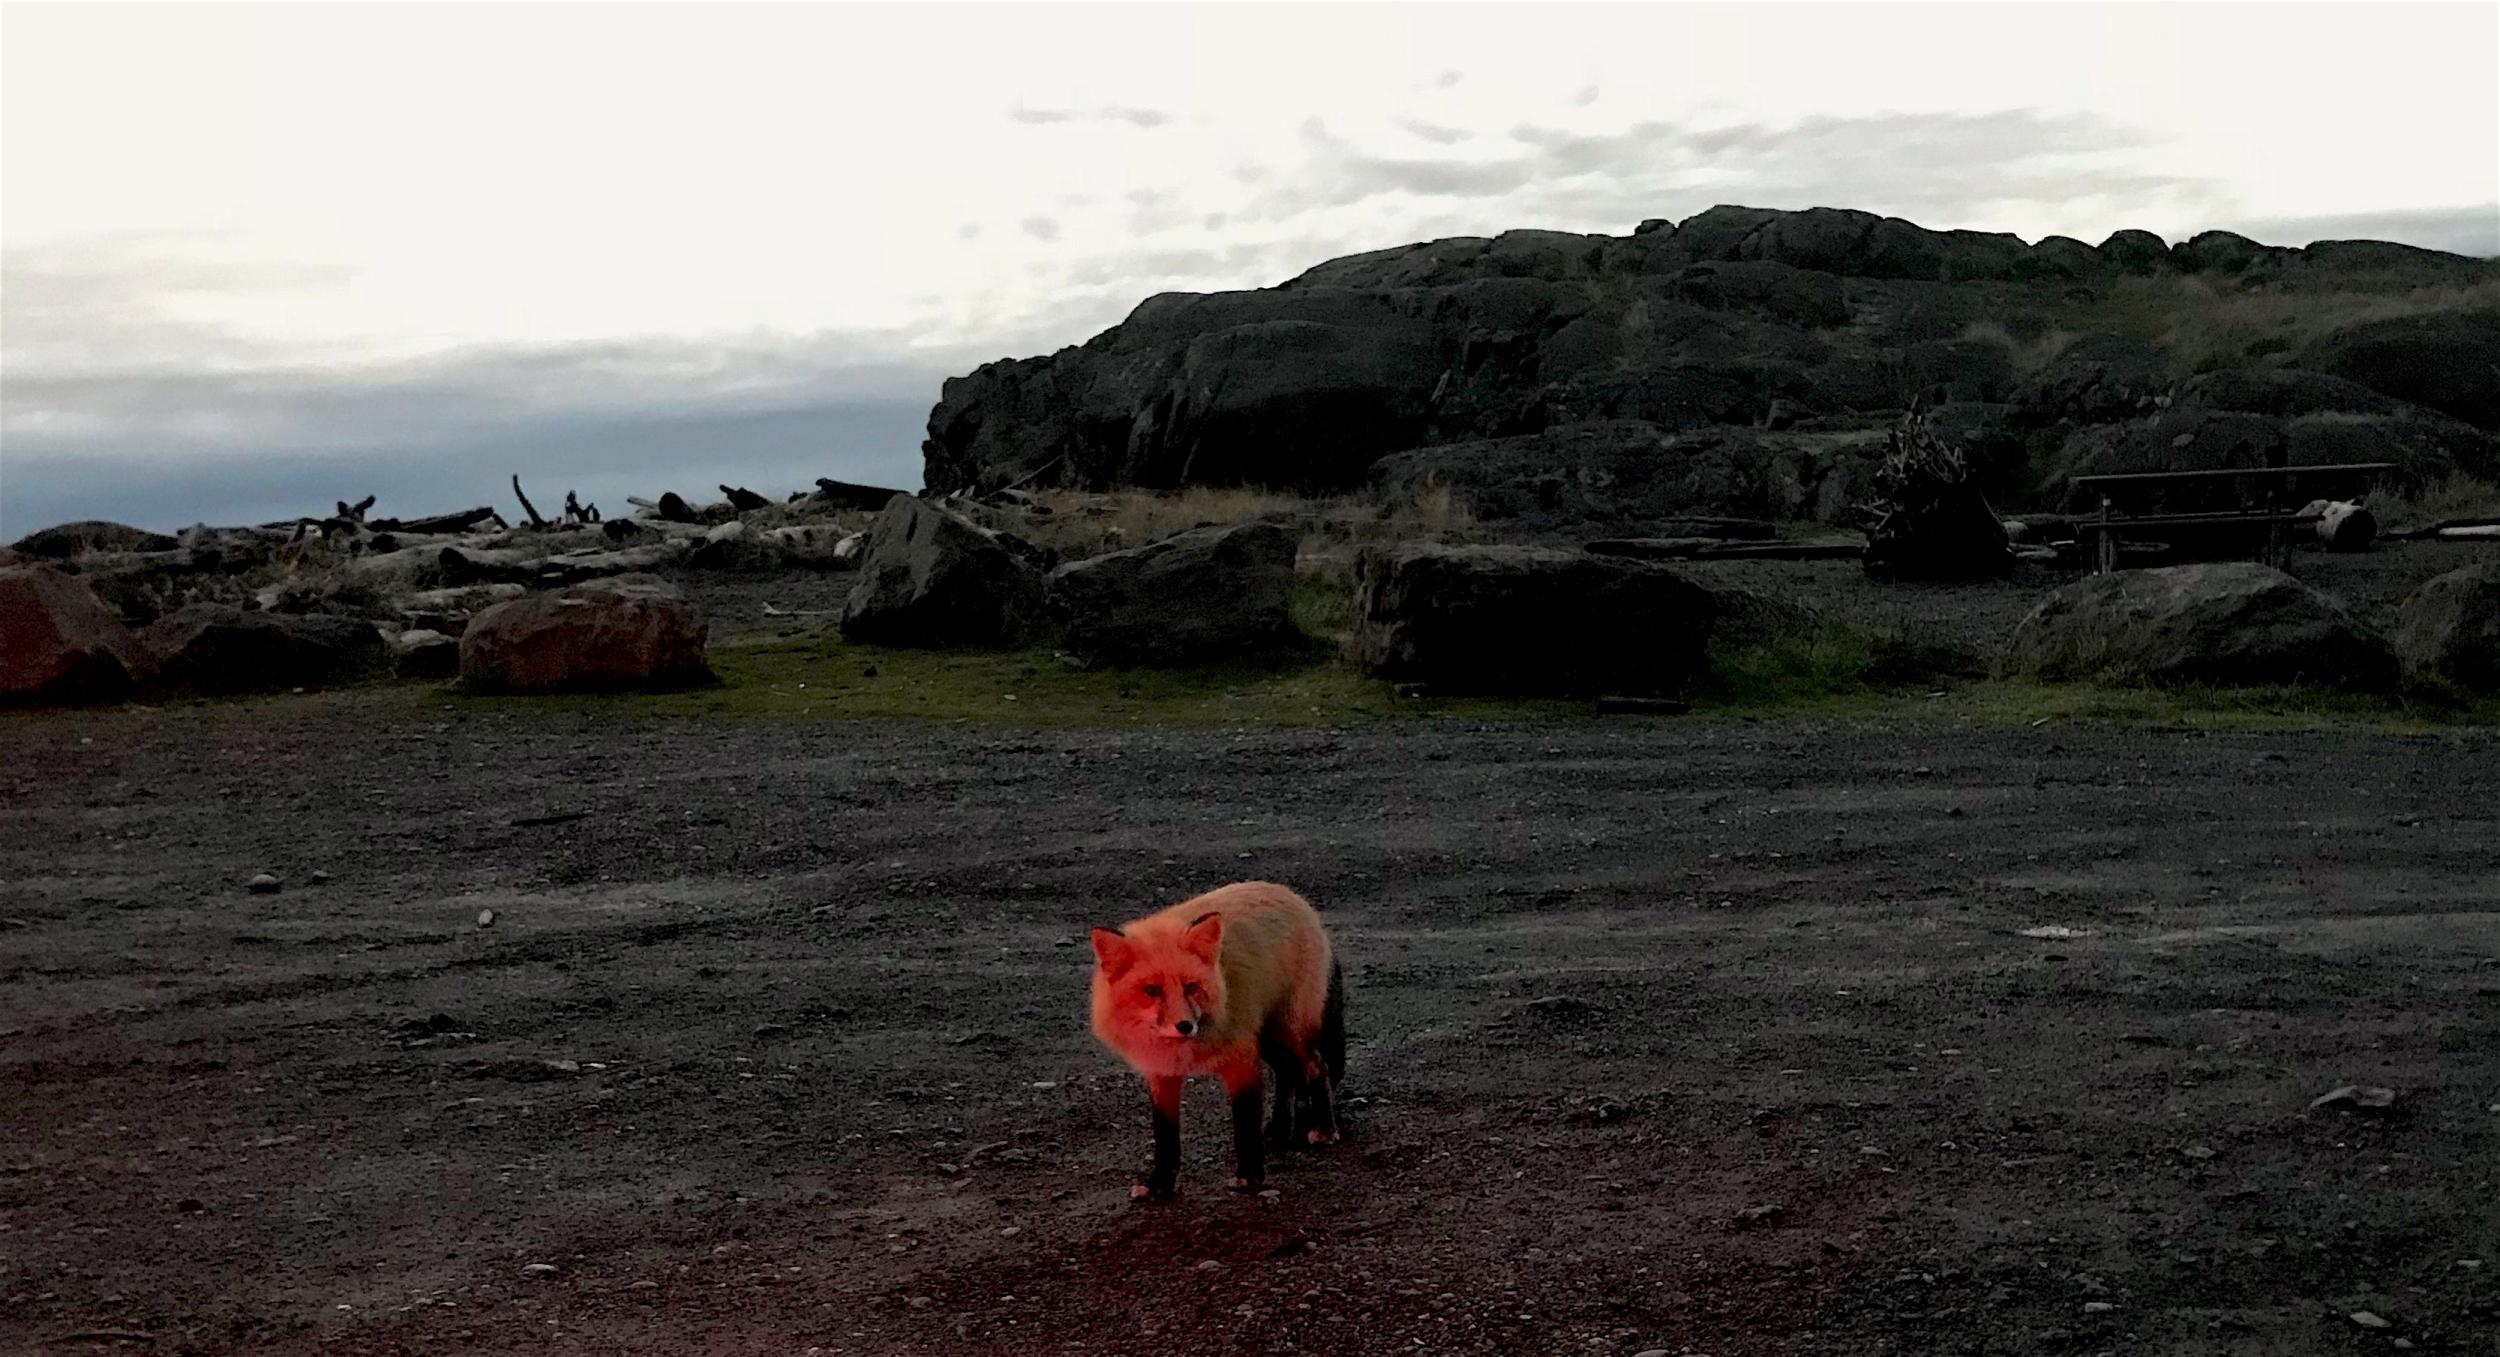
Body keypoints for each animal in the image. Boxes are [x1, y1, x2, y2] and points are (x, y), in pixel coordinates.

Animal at [1090, 879, 1350, 1199]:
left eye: (1191, 987)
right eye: (1152, 991)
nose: (1184, 1026)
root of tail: (1287, 892)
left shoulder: (1241, 1059)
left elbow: (1245, 1122)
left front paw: (1249, 1176)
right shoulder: (1161, 1073)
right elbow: (1165, 1136)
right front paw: (1159, 1185)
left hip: (1291, 1031)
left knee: (1317, 1066)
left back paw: (1324, 1127)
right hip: (1267, 1038)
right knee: (1287, 1073)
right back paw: (1278, 1130)